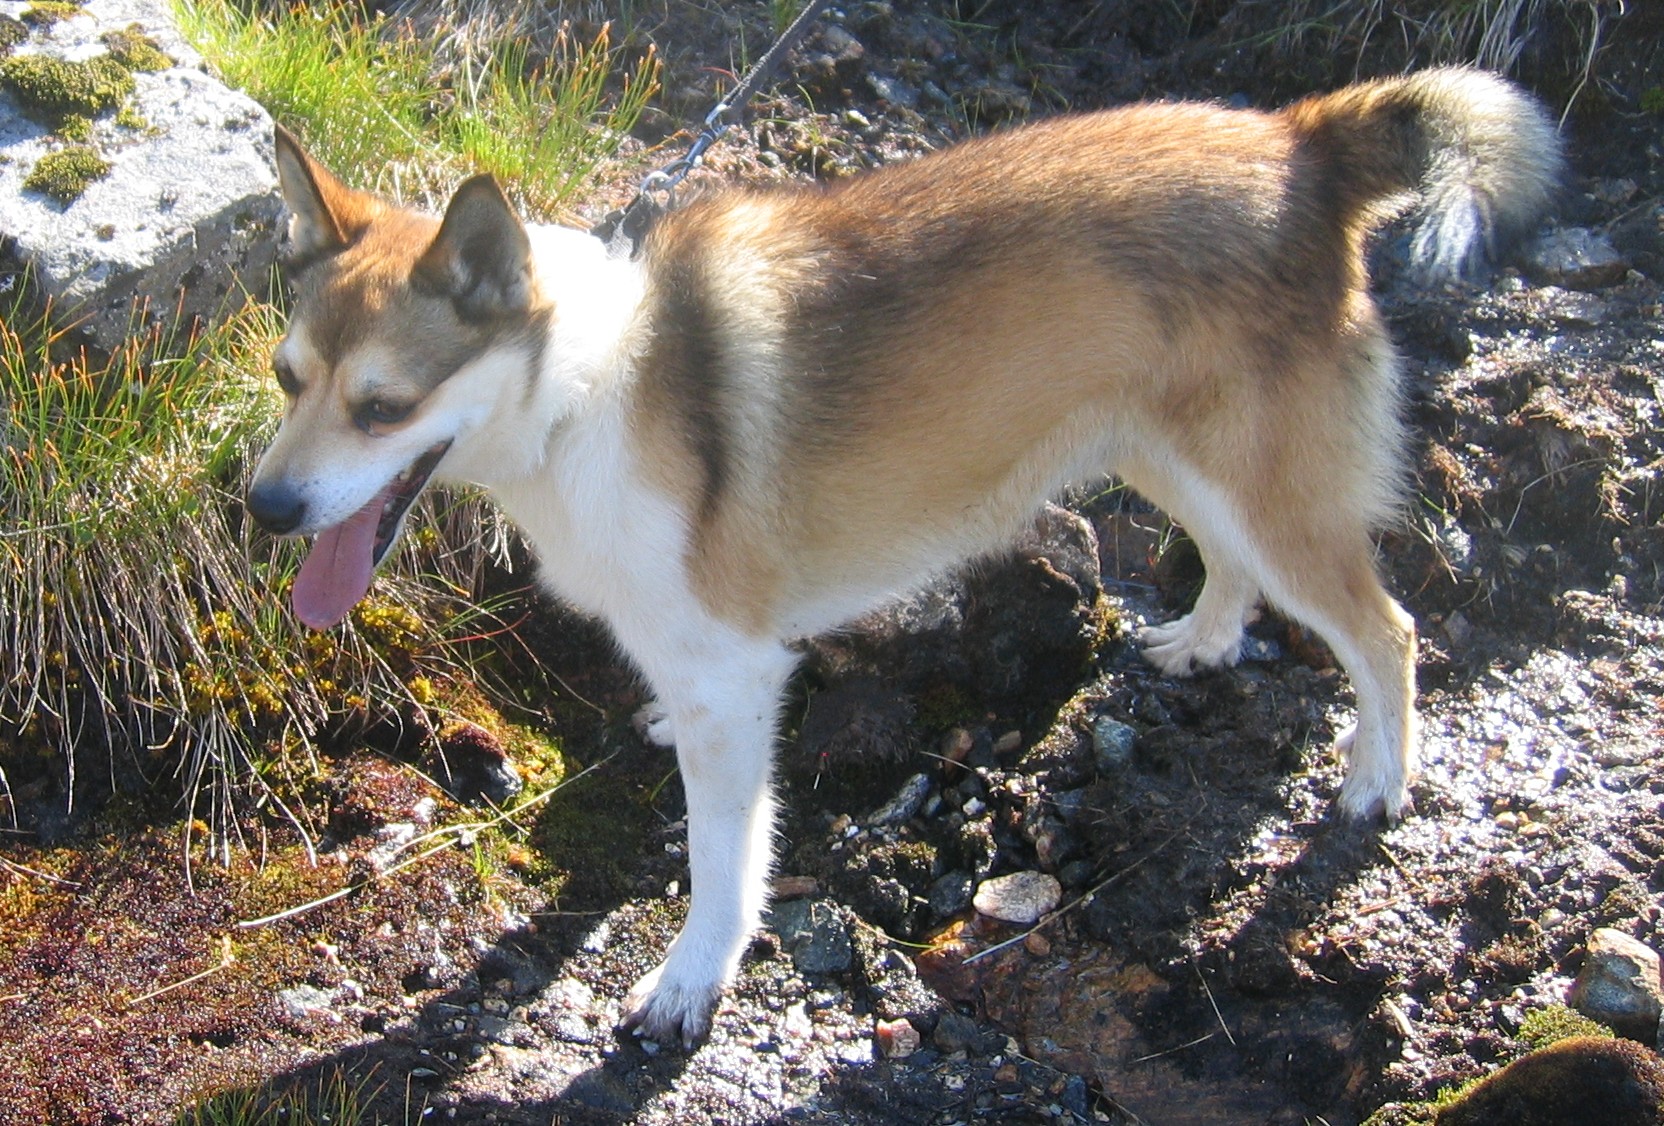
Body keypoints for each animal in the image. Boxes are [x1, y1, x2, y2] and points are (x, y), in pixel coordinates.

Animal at [242, 70, 1557, 1044]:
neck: (581, 384)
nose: (262, 507)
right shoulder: (707, 664)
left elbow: (723, 854)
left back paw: (1375, 779)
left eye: (383, 407)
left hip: (1262, 483)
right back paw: (1201, 640)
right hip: (1168, 451)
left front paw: (691, 980)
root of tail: (1302, 143)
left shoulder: (735, 677)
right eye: (286, 377)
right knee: (1229, 565)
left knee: (1385, 631)